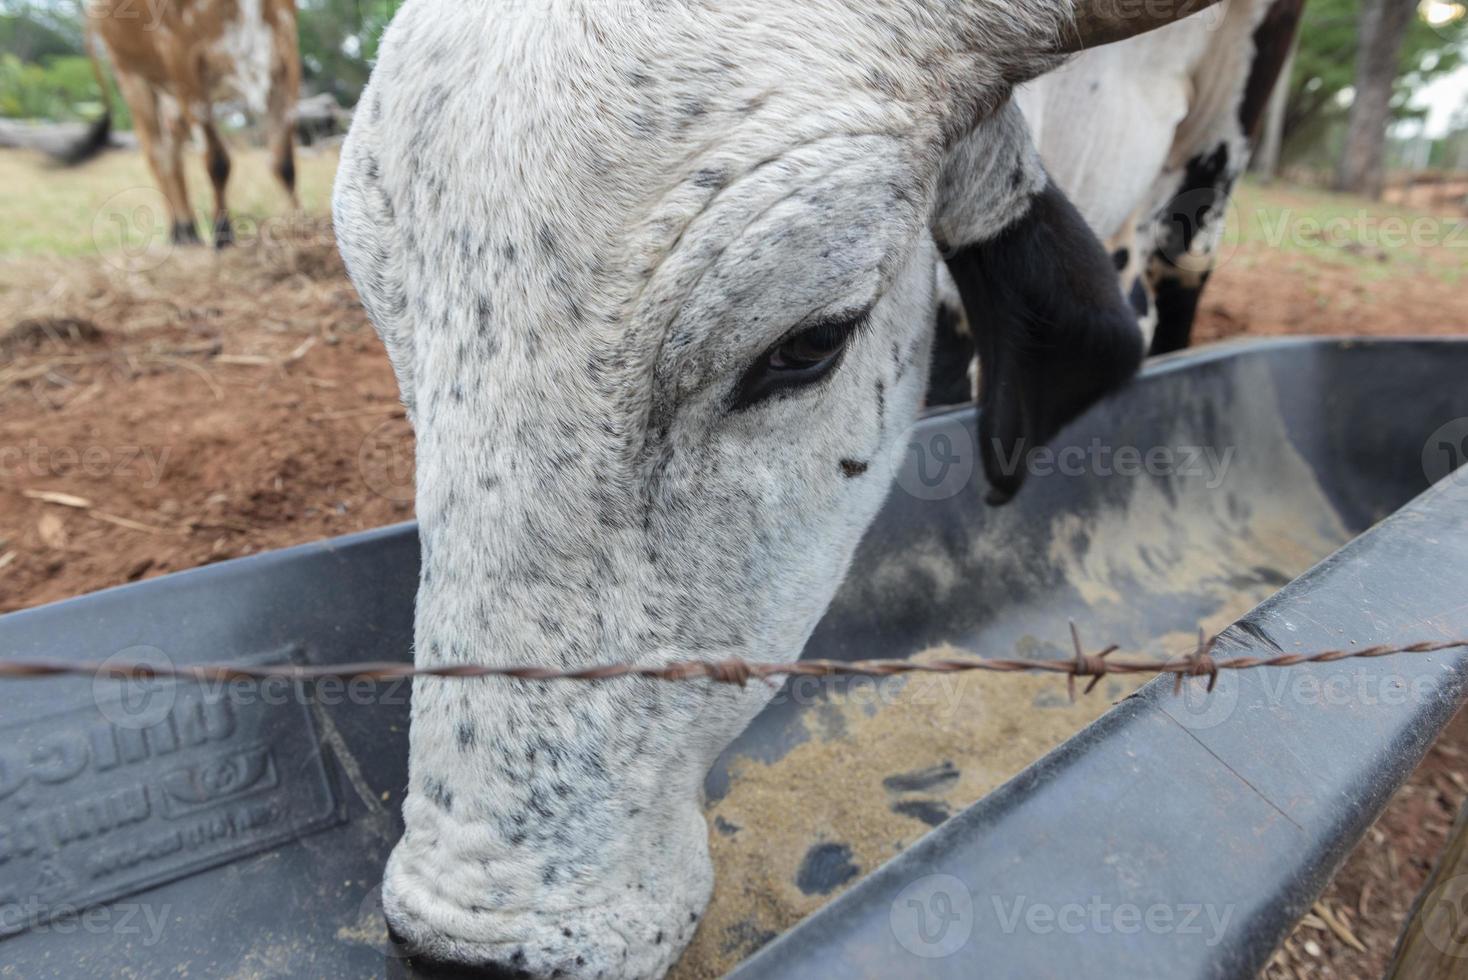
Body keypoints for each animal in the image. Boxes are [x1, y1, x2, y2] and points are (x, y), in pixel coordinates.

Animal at [62, 0, 300, 249]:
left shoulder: (286, 54)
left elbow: (284, 164)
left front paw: (299, 227)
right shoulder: (183, 63)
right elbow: (217, 163)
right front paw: (222, 233)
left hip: (171, 100)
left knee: (172, 155)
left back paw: (186, 229)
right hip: (132, 78)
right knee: (157, 156)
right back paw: (180, 230)